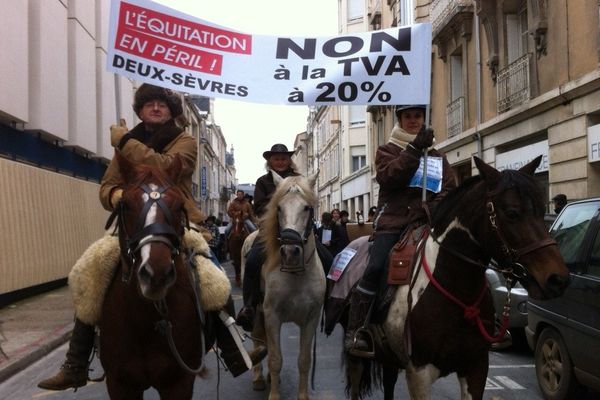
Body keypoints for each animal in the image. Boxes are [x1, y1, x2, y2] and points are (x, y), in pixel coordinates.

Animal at [240, 174, 324, 400]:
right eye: (278, 208)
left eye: (306, 207)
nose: (290, 251)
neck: (295, 274)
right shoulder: (272, 315)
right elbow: (276, 359)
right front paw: (274, 395)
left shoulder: (311, 319)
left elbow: (304, 360)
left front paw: (302, 396)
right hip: (256, 311)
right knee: (259, 340)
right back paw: (259, 379)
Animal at [344, 156, 568, 400]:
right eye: (511, 213)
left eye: (542, 209)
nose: (557, 279)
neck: (457, 286)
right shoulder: (419, 373)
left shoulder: (476, 367)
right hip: (356, 356)